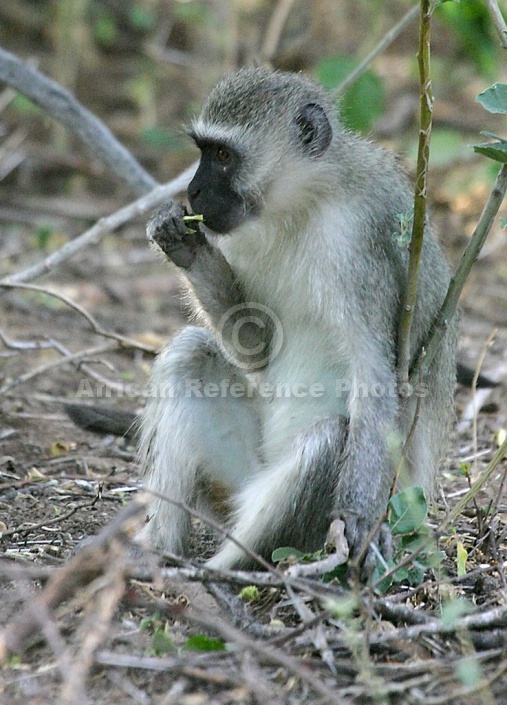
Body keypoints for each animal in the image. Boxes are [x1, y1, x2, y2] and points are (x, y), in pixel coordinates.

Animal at [135, 69, 460, 568]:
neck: (301, 205)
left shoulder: (356, 242)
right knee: (190, 356)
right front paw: (182, 241)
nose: (192, 191)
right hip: (241, 475)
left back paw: (214, 574)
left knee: (329, 438)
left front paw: (356, 521)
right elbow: (258, 345)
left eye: (224, 157)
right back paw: (156, 552)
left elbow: (373, 373)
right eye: (204, 151)